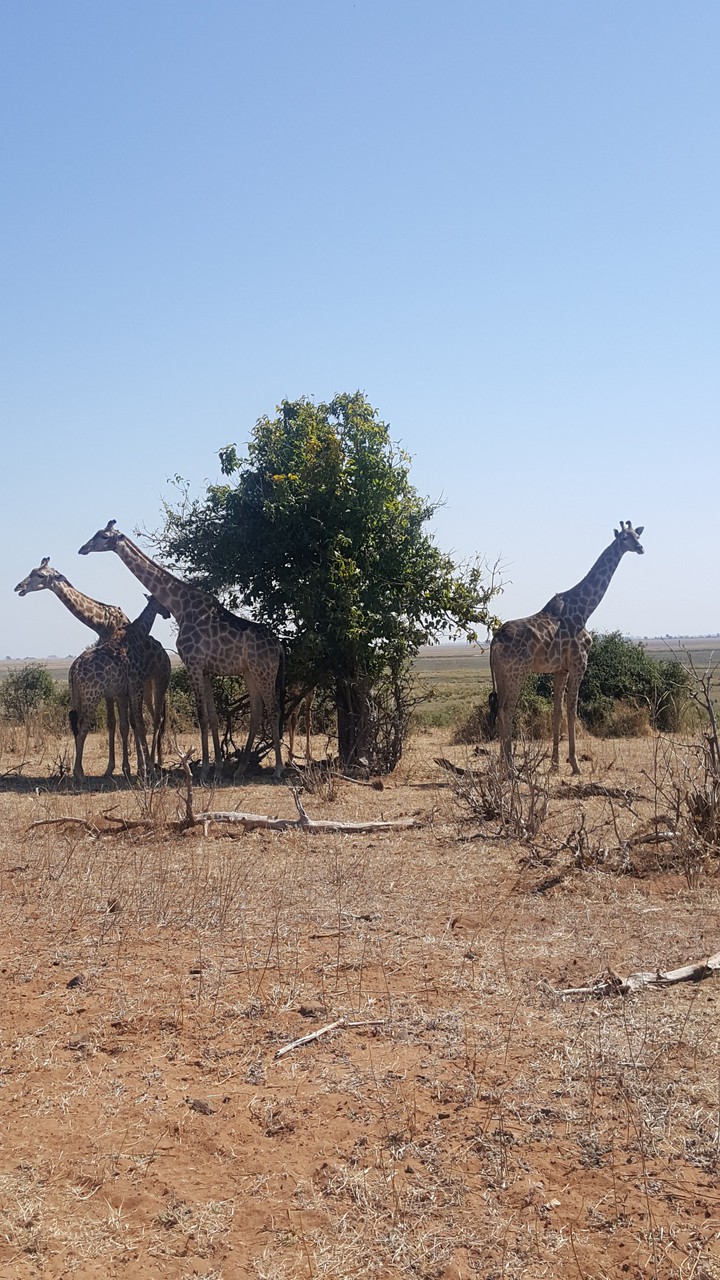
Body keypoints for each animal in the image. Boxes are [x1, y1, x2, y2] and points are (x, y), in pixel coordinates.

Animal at [78, 521, 285, 781]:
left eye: (104, 536)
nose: (83, 549)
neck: (181, 607)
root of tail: (279, 646)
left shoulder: (193, 663)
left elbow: (202, 716)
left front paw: (204, 770)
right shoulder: (204, 669)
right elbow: (213, 717)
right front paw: (217, 768)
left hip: (264, 671)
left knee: (274, 710)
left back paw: (278, 769)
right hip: (249, 672)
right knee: (257, 712)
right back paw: (240, 769)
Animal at [489, 521, 645, 775]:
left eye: (636, 535)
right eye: (624, 538)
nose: (640, 548)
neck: (585, 610)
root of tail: (494, 641)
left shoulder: (560, 670)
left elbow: (557, 712)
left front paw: (554, 764)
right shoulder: (579, 664)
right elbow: (572, 710)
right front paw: (575, 764)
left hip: (501, 674)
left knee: (500, 710)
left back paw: (503, 765)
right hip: (517, 673)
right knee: (506, 710)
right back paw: (511, 768)